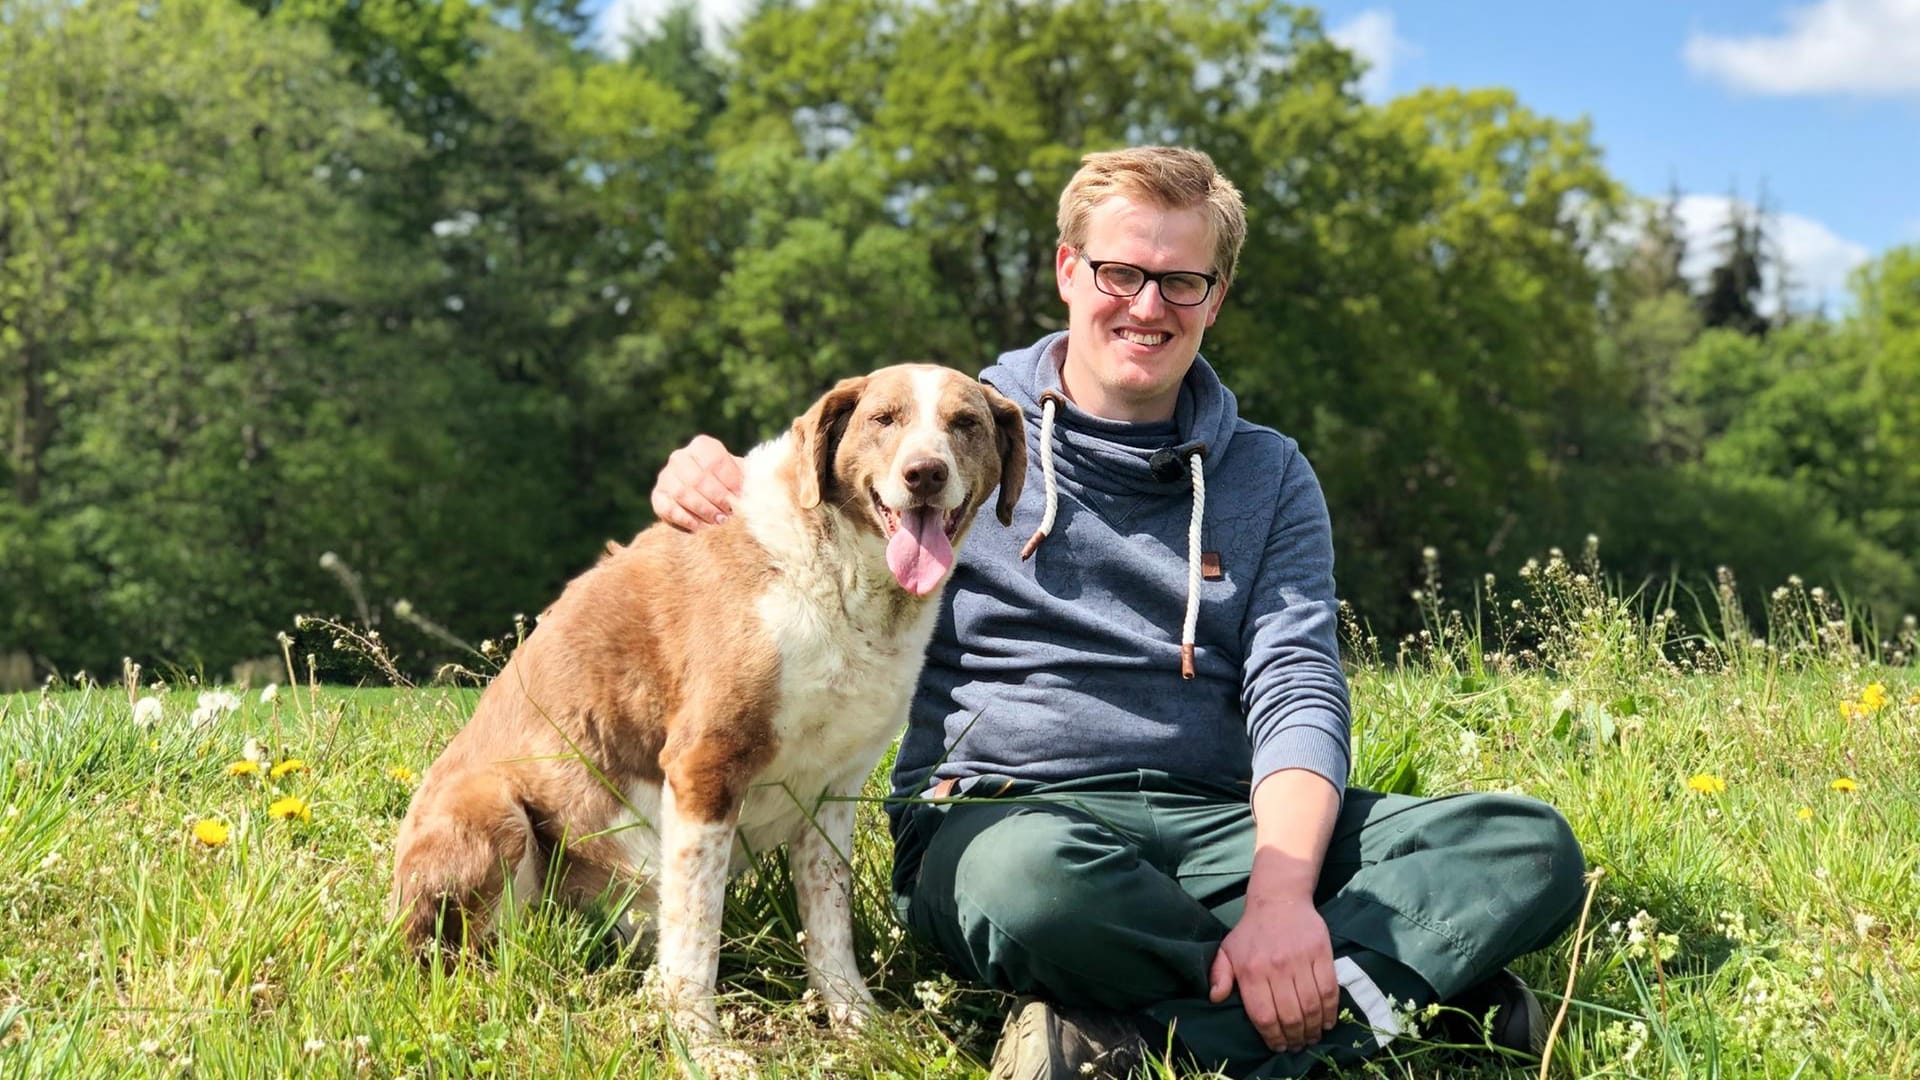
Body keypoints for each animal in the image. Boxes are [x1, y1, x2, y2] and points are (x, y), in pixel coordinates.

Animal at [385, 361, 1021, 1060]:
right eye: (884, 419)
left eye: (965, 423)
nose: (924, 474)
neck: (842, 578)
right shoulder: (704, 766)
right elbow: (696, 935)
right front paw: (703, 1048)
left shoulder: (833, 792)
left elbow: (829, 925)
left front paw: (860, 1025)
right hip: (493, 808)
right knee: (465, 959)